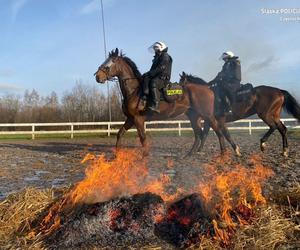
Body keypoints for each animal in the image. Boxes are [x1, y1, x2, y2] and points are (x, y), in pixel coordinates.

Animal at [95, 47, 240, 155]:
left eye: (112, 61)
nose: (97, 76)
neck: (134, 91)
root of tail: (208, 88)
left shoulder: (138, 119)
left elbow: (142, 138)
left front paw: (145, 155)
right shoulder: (130, 119)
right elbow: (120, 134)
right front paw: (117, 153)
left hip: (207, 115)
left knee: (218, 130)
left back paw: (224, 152)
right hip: (194, 116)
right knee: (199, 133)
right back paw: (190, 154)